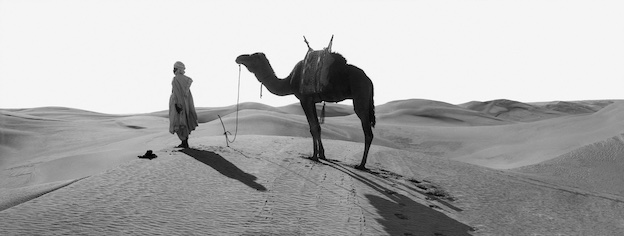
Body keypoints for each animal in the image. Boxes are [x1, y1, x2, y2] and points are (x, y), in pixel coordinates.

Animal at [235, 46, 376, 170]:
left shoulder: (304, 99)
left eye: (252, 56)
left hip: (360, 96)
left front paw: (313, 156)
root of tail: (369, 81)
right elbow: (317, 127)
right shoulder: (311, 100)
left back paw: (361, 165)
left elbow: (313, 128)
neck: (289, 81)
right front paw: (322, 154)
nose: (238, 58)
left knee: (367, 132)